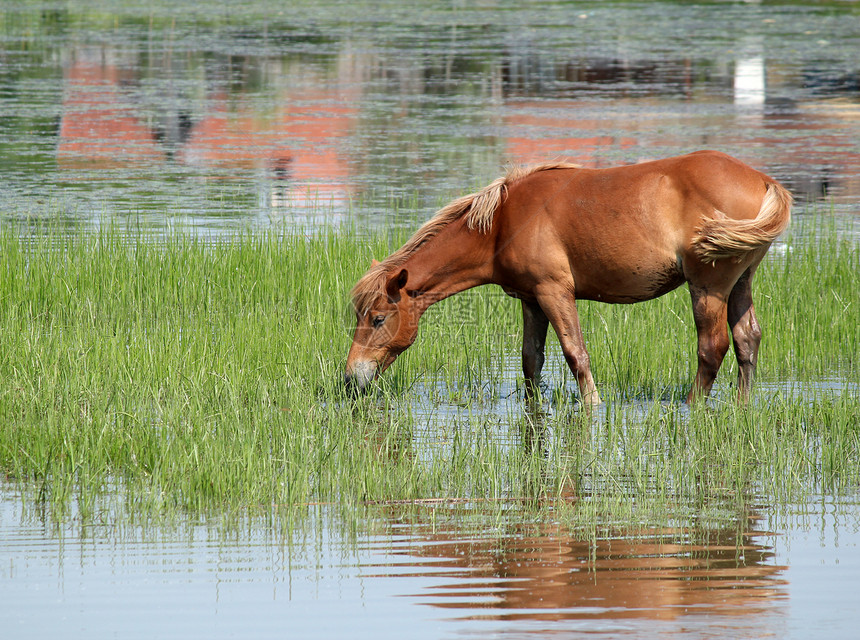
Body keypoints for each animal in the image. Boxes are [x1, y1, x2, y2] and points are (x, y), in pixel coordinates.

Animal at [344, 150, 792, 404]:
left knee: (712, 348)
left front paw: (592, 406)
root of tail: (764, 180)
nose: (351, 379)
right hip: (740, 282)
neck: (502, 223)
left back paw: (690, 406)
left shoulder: (554, 292)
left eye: (378, 319)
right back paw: (742, 405)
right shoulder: (530, 299)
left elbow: (576, 355)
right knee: (747, 340)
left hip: (709, 286)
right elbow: (531, 360)